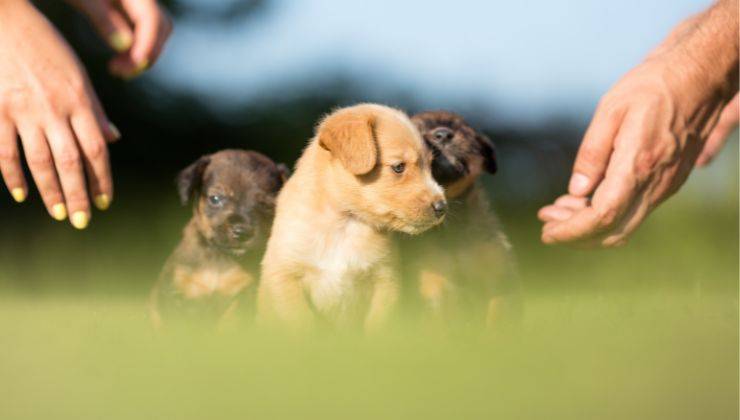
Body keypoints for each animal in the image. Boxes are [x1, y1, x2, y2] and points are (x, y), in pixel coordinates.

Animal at [150, 148, 290, 328]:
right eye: (215, 199)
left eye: (267, 205)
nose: (241, 232)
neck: (218, 257)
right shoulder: (174, 293)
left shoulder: (244, 295)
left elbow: (228, 323)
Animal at [258, 102, 448, 332]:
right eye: (398, 167)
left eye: (430, 165)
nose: (442, 207)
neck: (345, 223)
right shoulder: (285, 276)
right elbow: (304, 325)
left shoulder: (385, 279)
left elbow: (377, 327)